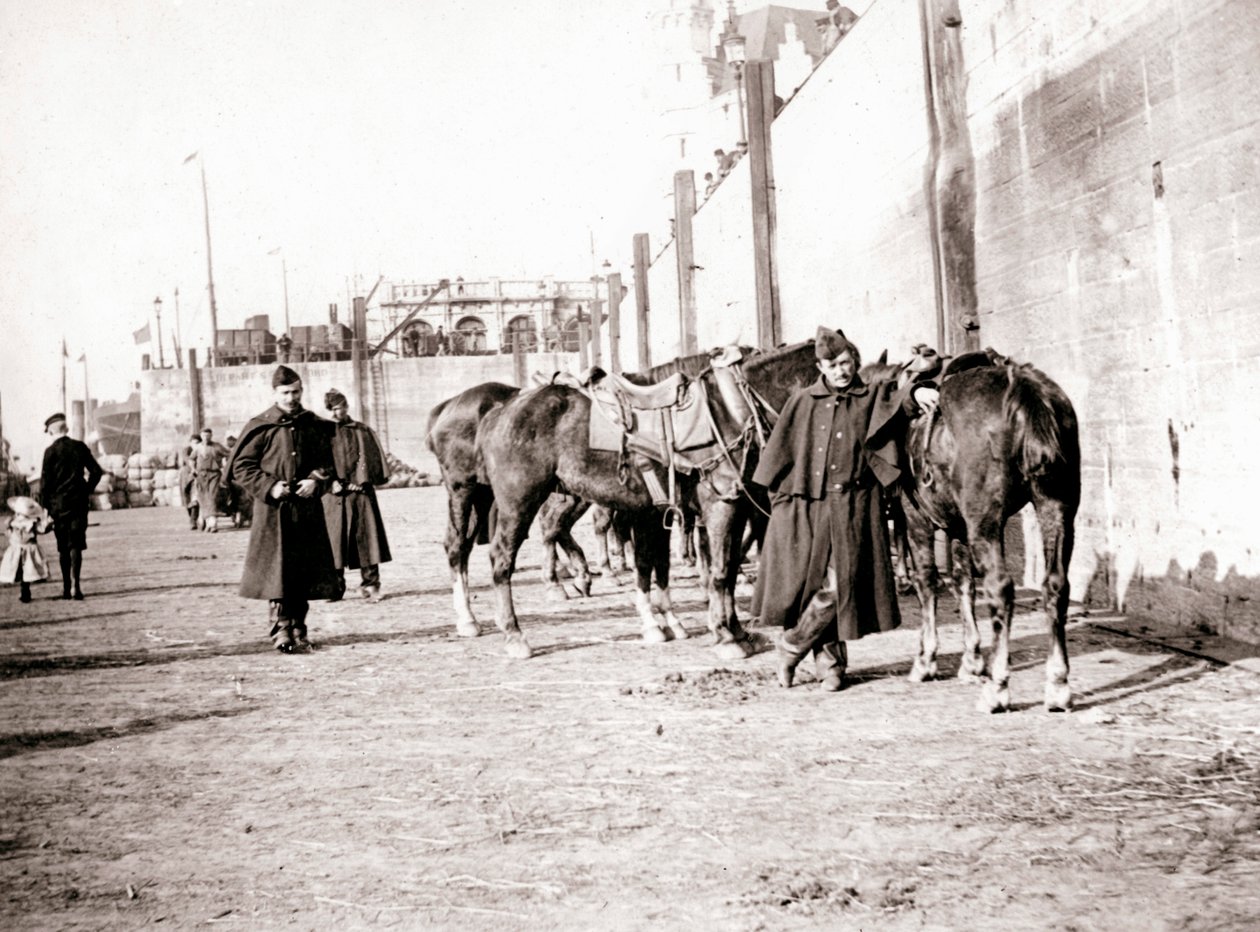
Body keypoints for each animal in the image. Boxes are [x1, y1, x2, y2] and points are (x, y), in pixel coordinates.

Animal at [473, 345, 816, 664]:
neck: (732, 409)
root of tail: (499, 411)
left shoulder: (722, 508)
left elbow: (706, 568)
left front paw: (735, 631)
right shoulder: (720, 508)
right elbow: (719, 572)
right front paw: (727, 636)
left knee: (551, 530)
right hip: (521, 502)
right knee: (505, 557)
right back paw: (516, 632)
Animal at [866, 350, 1083, 715]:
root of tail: (1023, 388)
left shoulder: (917, 518)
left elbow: (929, 582)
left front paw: (926, 660)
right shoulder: (960, 528)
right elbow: (963, 583)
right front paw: (971, 659)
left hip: (986, 519)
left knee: (1000, 589)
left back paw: (998, 688)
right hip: (1056, 507)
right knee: (1055, 586)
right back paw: (1058, 685)